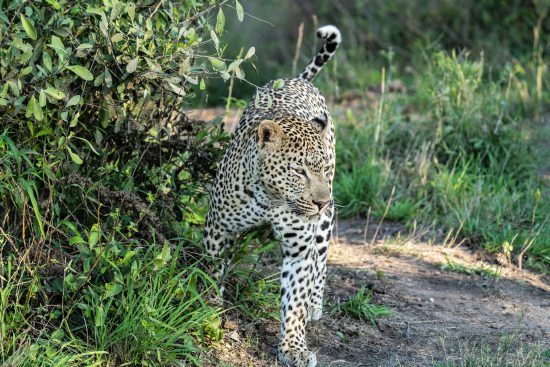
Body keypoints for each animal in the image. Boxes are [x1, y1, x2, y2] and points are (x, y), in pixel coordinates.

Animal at [203, 24, 340, 366]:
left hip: (326, 220)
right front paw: (207, 311)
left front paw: (293, 347)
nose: (320, 201)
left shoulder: (299, 247)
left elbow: (294, 299)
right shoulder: (218, 229)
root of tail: (298, 79)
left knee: (322, 253)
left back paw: (315, 303)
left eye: (320, 169)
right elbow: (212, 272)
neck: (271, 199)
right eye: (299, 171)